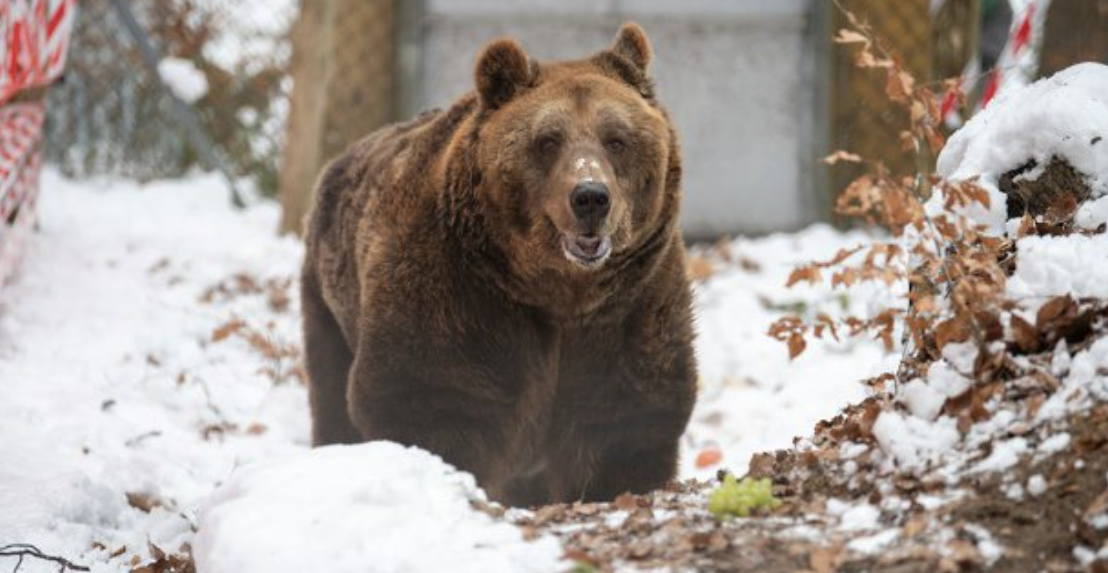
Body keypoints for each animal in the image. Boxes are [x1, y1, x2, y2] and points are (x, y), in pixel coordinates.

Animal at [299, 22, 695, 505]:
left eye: (616, 139)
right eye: (547, 140)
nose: (590, 197)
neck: (558, 291)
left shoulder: (631, 301)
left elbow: (623, 415)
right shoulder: (456, 293)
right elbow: (429, 397)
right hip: (328, 302)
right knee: (331, 392)